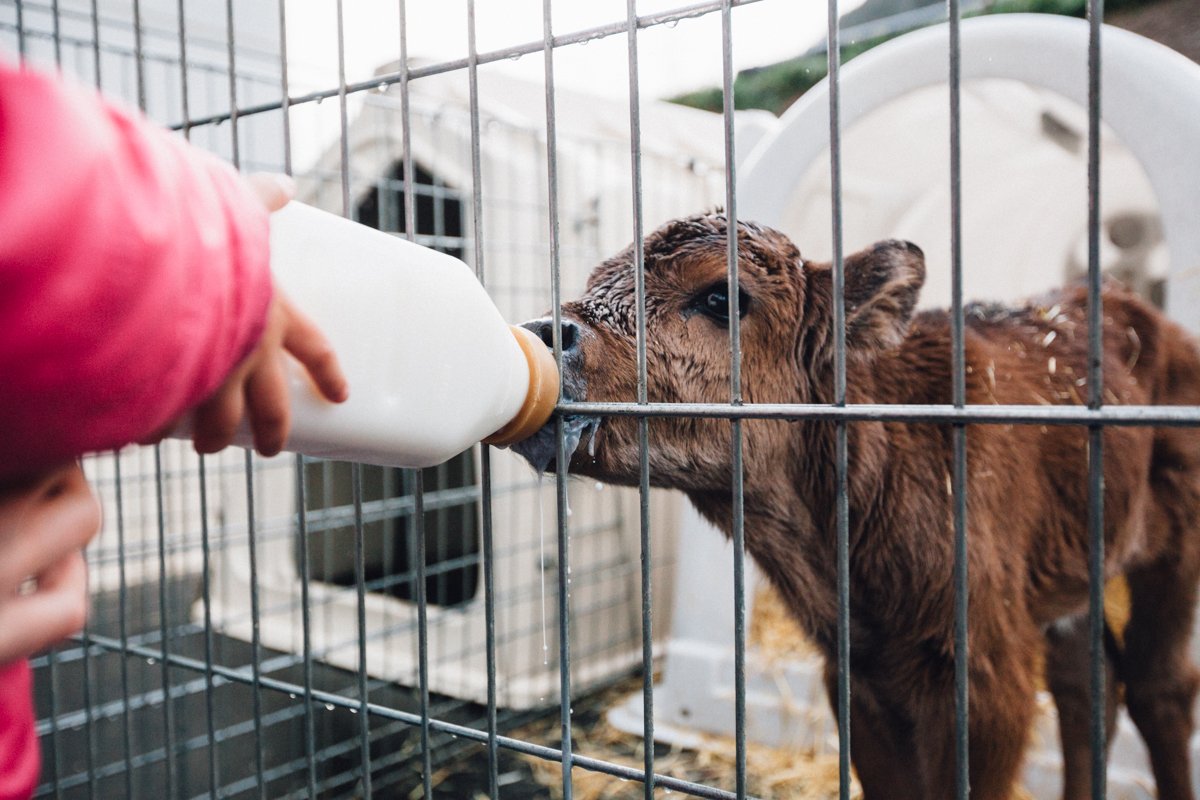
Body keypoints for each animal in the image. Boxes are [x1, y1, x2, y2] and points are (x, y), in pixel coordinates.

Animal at [513, 214, 1200, 800]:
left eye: (721, 298)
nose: (548, 333)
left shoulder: (982, 675)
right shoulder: (859, 672)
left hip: (1175, 549)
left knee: (1158, 686)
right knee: (1091, 684)